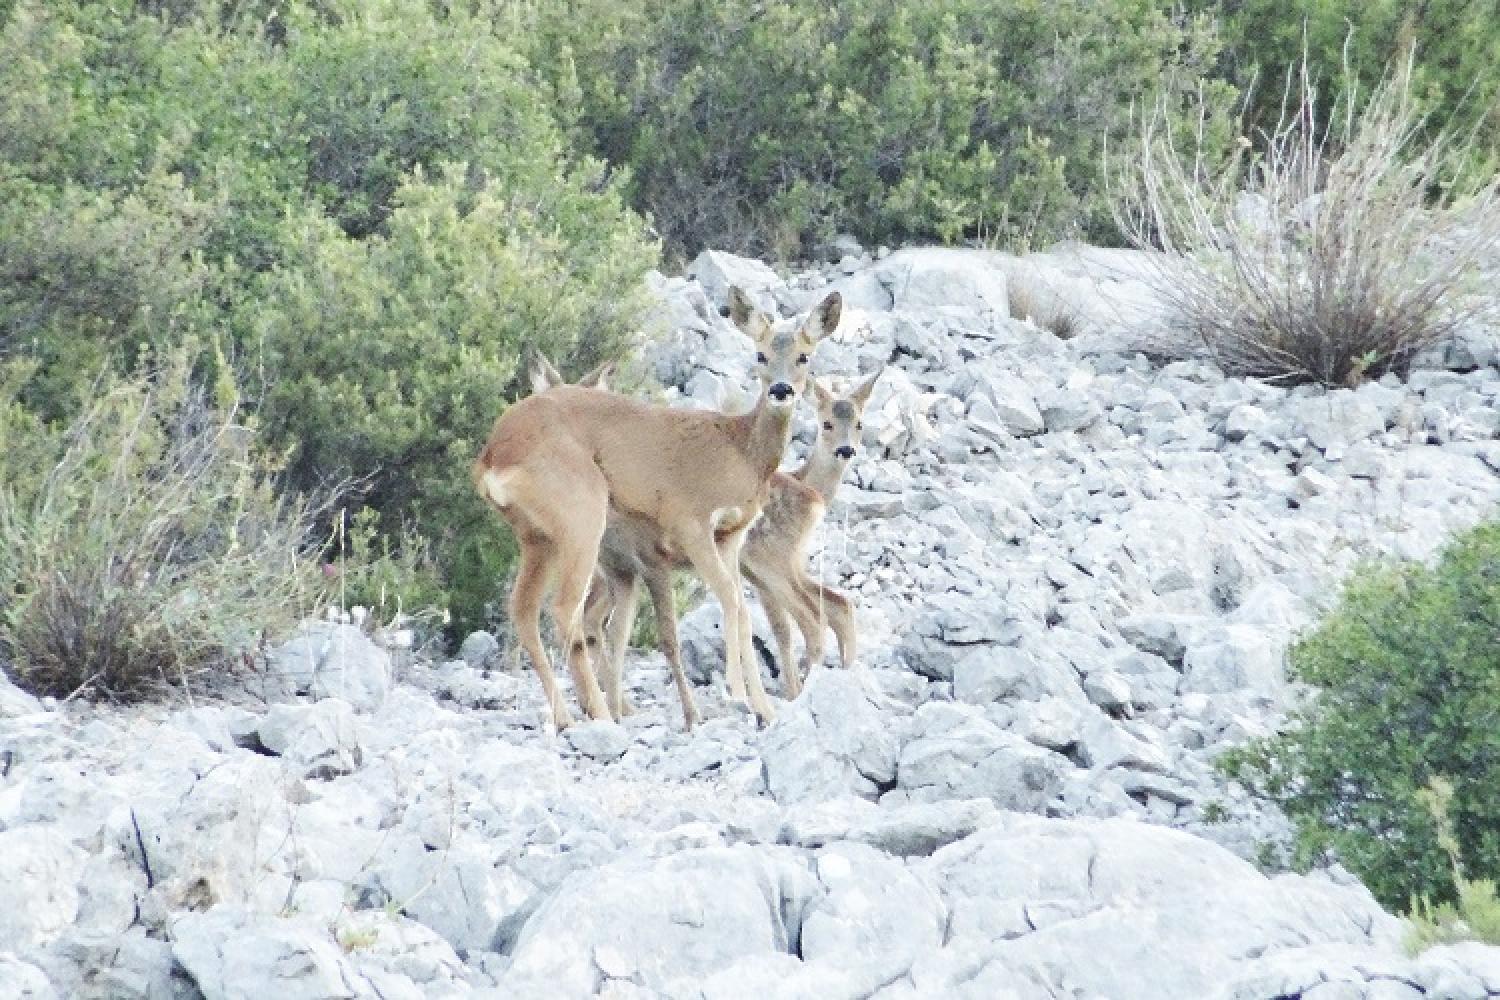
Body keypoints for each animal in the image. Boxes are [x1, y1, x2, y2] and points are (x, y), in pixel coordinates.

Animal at [471, 284, 840, 731]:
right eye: (760, 354)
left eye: (805, 355)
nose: (782, 390)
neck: (738, 451)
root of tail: (493, 456)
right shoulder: (689, 524)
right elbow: (729, 601)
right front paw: (736, 695)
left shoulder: (730, 536)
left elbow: (740, 607)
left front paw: (763, 708)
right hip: (580, 517)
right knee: (564, 611)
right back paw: (600, 715)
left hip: (535, 536)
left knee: (525, 611)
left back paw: (568, 718)